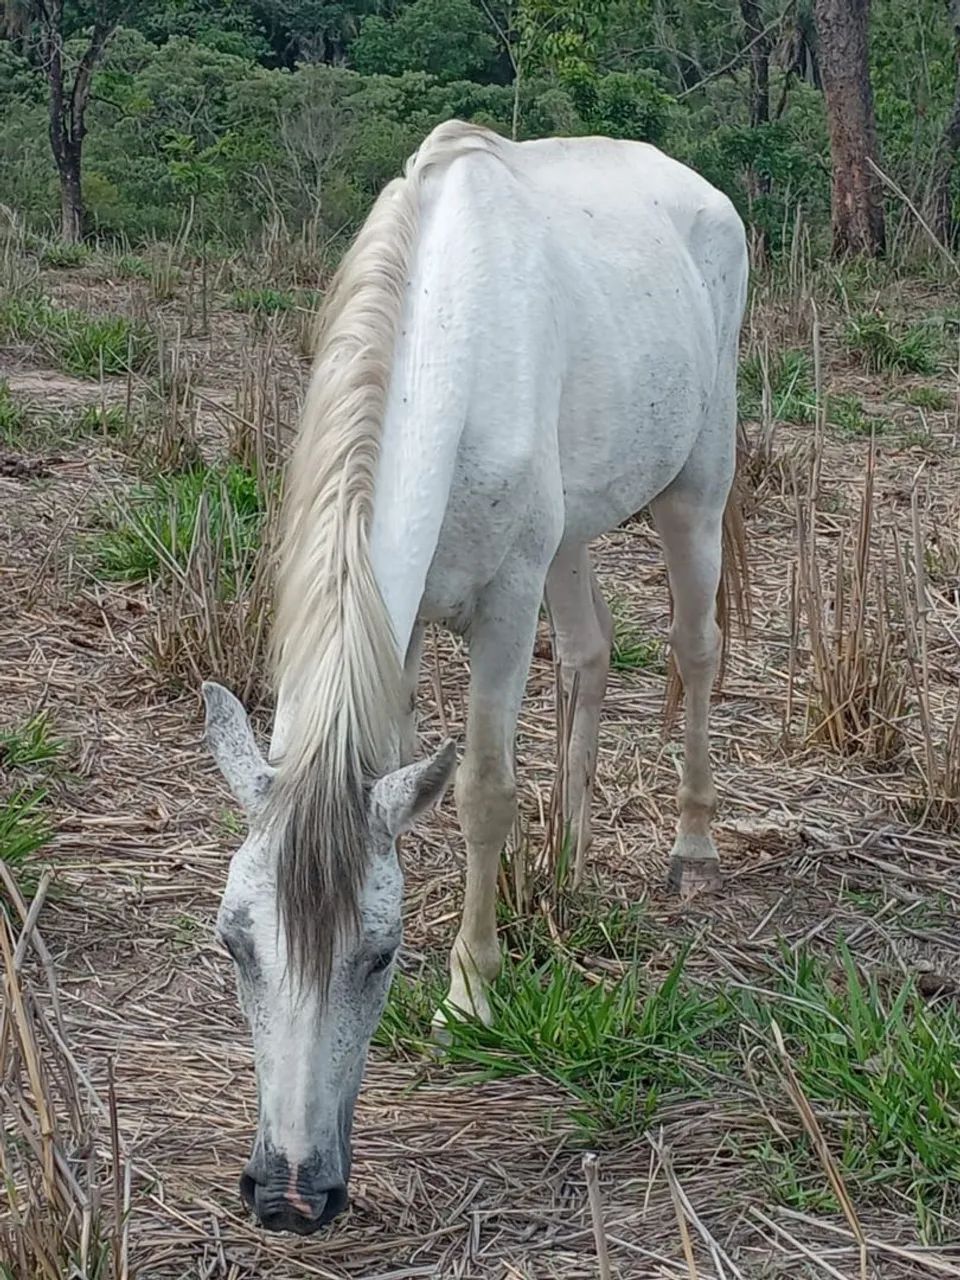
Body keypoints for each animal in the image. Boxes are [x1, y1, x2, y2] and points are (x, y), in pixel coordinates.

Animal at [202, 119, 749, 1236]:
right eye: (235, 944)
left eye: (376, 953)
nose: (290, 1192)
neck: (451, 346)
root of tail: (697, 187)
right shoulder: (399, 626)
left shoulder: (502, 610)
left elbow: (483, 792)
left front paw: (471, 992)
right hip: (576, 533)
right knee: (590, 653)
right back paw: (570, 861)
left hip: (696, 489)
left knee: (693, 648)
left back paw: (693, 845)